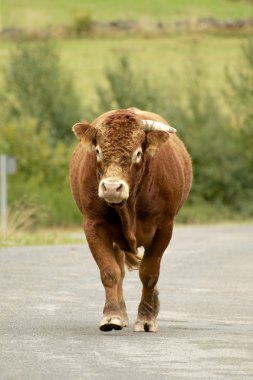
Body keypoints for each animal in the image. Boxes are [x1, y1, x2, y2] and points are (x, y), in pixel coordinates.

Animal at [69, 107, 192, 332]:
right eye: (98, 151)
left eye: (138, 153)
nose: (111, 187)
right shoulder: (93, 224)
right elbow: (110, 272)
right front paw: (111, 316)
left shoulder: (164, 227)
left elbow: (149, 273)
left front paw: (146, 318)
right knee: (119, 269)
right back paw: (122, 313)